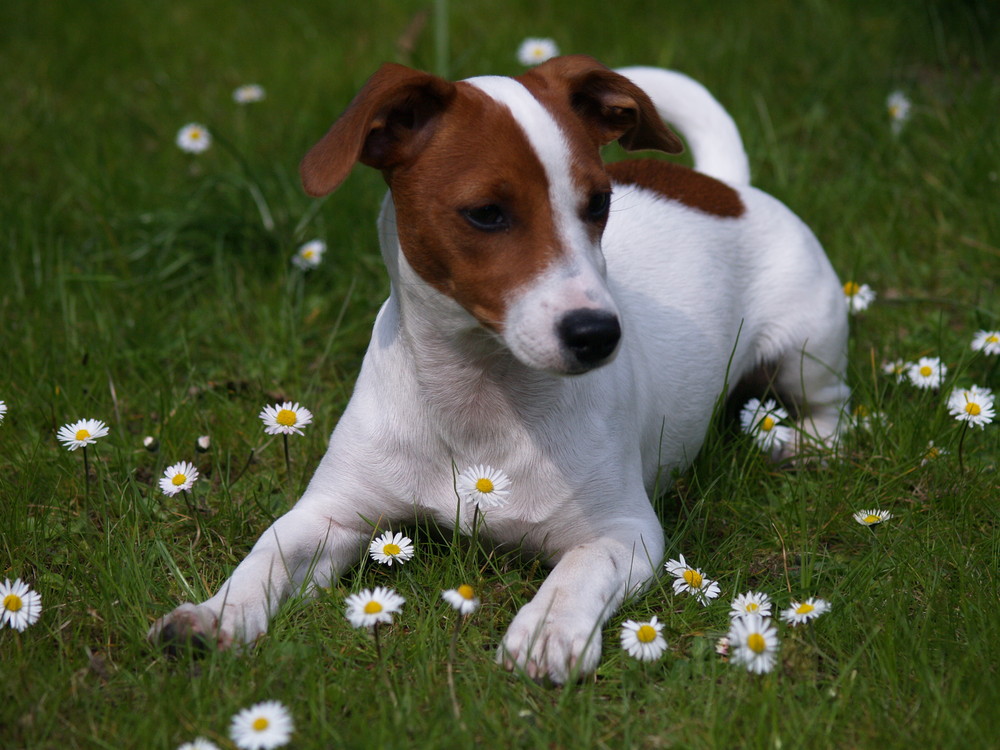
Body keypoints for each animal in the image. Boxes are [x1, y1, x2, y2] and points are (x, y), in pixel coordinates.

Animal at [150, 55, 852, 684]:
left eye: (600, 202)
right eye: (486, 212)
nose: (599, 333)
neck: (481, 395)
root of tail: (725, 186)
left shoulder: (624, 533)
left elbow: (575, 575)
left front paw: (546, 631)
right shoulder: (332, 514)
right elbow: (266, 557)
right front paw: (214, 615)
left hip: (805, 346)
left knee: (835, 408)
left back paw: (794, 443)